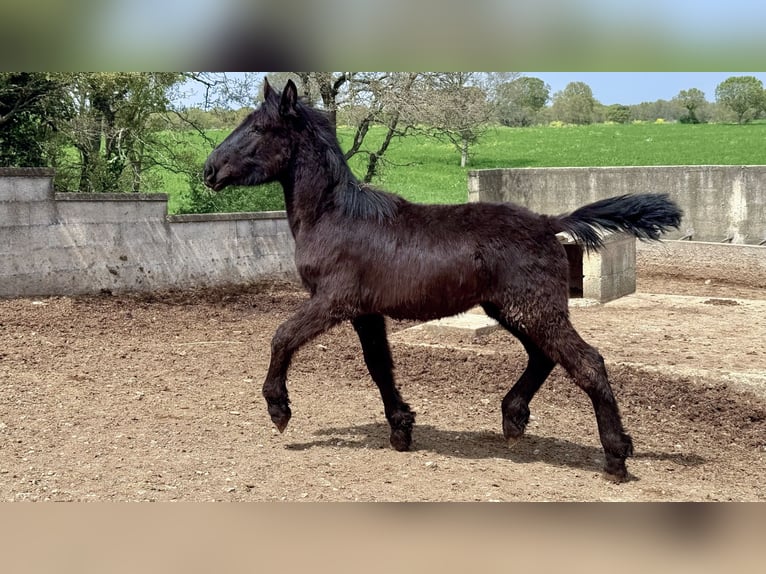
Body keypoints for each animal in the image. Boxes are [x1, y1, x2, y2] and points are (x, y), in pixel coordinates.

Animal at [203, 78, 682, 482]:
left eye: (259, 127)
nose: (209, 171)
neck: (335, 215)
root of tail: (550, 223)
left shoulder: (333, 300)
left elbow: (282, 336)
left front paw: (279, 408)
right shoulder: (366, 310)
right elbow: (379, 365)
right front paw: (401, 429)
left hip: (533, 309)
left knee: (587, 362)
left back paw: (615, 456)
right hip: (510, 309)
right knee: (543, 357)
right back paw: (513, 418)